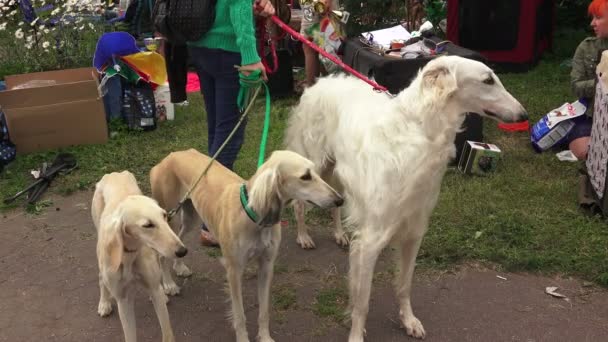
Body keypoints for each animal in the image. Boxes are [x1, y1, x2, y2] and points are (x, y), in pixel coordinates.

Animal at [91, 172, 188, 342]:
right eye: (147, 225)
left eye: (164, 215)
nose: (182, 251)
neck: (129, 255)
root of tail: (114, 173)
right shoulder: (123, 300)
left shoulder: (154, 289)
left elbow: (167, 333)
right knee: (101, 277)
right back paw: (104, 303)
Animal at [149, 149, 342, 342]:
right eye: (305, 176)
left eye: (316, 172)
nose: (340, 200)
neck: (253, 216)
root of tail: (173, 154)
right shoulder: (234, 270)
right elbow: (240, 315)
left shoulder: (266, 266)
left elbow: (264, 311)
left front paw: (264, 337)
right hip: (169, 219)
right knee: (160, 255)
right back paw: (168, 285)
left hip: (191, 218)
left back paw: (179, 267)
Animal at [284, 55, 528, 340]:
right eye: (488, 80)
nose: (524, 115)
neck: (419, 132)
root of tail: (318, 83)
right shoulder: (370, 240)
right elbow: (362, 302)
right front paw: (356, 333)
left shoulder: (414, 231)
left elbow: (404, 285)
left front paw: (408, 321)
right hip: (314, 166)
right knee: (299, 204)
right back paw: (303, 236)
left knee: (336, 204)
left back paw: (339, 234)